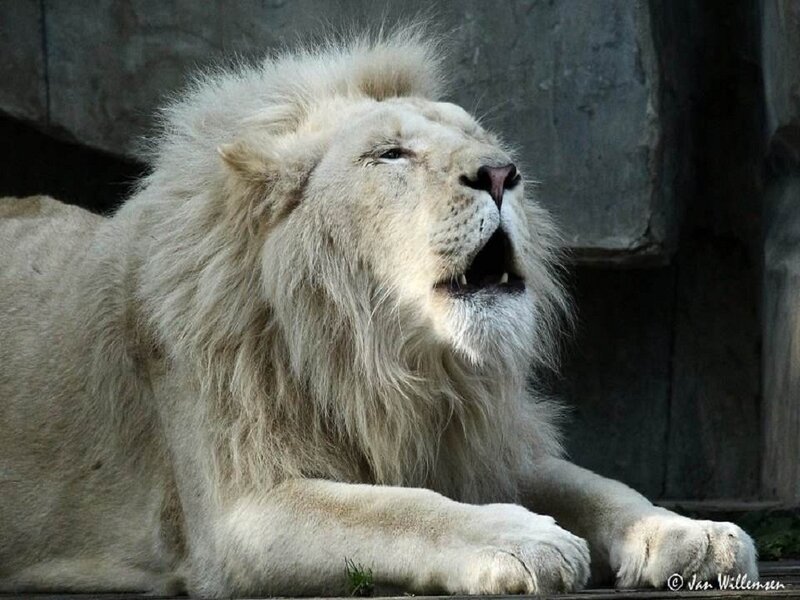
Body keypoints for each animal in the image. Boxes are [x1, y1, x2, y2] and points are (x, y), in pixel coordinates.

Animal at [0, 30, 757, 597]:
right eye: (390, 154)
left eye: (483, 140)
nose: (502, 173)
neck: (387, 357)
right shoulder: (236, 512)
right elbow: (395, 508)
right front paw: (521, 539)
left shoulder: (474, 441)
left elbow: (598, 486)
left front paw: (690, 535)